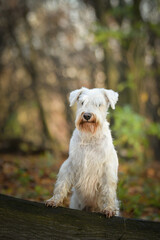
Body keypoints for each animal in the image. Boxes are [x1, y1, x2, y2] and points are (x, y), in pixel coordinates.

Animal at [45, 87, 119, 217]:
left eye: (98, 104)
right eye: (82, 102)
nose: (87, 115)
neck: (90, 135)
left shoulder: (107, 169)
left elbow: (108, 190)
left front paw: (109, 208)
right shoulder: (71, 163)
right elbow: (61, 183)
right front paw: (54, 200)